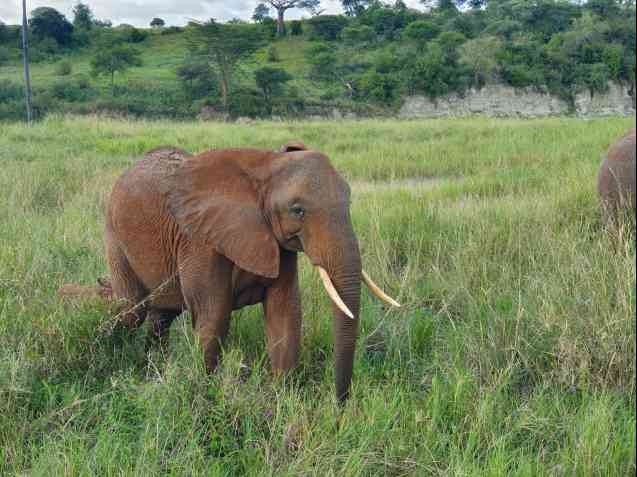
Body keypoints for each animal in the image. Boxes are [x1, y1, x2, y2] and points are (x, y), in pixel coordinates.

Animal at [103, 142, 398, 402]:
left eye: (349, 201)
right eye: (297, 210)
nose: (340, 404)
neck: (265, 166)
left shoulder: (279, 245)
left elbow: (285, 315)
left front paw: (282, 400)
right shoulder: (201, 240)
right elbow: (213, 316)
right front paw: (204, 395)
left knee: (162, 316)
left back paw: (150, 368)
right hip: (113, 231)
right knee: (132, 310)